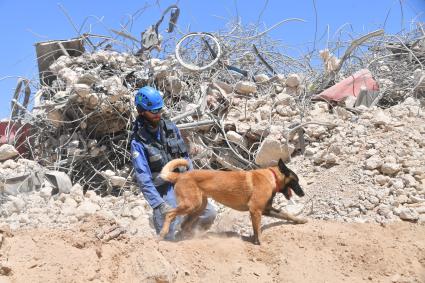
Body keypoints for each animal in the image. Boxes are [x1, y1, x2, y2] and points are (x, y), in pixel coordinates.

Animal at [157, 159, 306, 245]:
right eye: (296, 181)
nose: (303, 194)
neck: (272, 177)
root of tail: (179, 175)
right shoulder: (256, 210)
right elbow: (258, 229)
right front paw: (260, 242)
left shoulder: (265, 210)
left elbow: (285, 214)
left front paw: (300, 220)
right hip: (191, 205)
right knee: (170, 214)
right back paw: (163, 234)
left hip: (198, 207)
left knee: (184, 225)